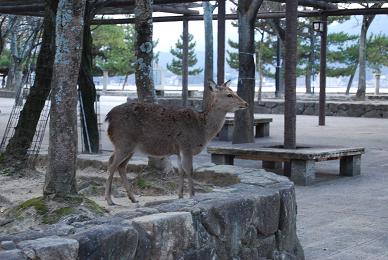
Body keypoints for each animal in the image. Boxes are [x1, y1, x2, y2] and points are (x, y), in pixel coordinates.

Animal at [104, 80, 247, 204]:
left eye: (234, 91)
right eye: (229, 94)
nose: (245, 103)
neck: (203, 130)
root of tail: (108, 117)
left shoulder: (178, 150)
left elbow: (181, 171)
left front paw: (180, 196)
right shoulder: (186, 145)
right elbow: (190, 170)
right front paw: (192, 195)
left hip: (130, 147)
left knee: (120, 166)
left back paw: (133, 198)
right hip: (123, 142)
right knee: (112, 165)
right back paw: (109, 200)